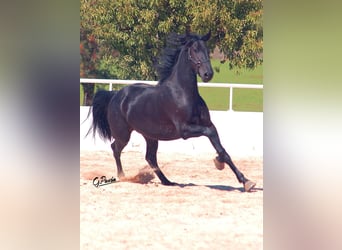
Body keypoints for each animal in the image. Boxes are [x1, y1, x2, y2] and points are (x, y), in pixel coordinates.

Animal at [87, 31, 255, 191]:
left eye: (207, 50)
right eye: (194, 50)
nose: (208, 74)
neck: (183, 93)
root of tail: (115, 95)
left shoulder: (208, 124)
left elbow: (222, 149)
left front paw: (246, 181)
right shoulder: (185, 130)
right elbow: (210, 135)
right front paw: (219, 162)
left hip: (150, 136)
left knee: (150, 157)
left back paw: (167, 181)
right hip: (123, 135)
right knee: (115, 149)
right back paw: (123, 177)